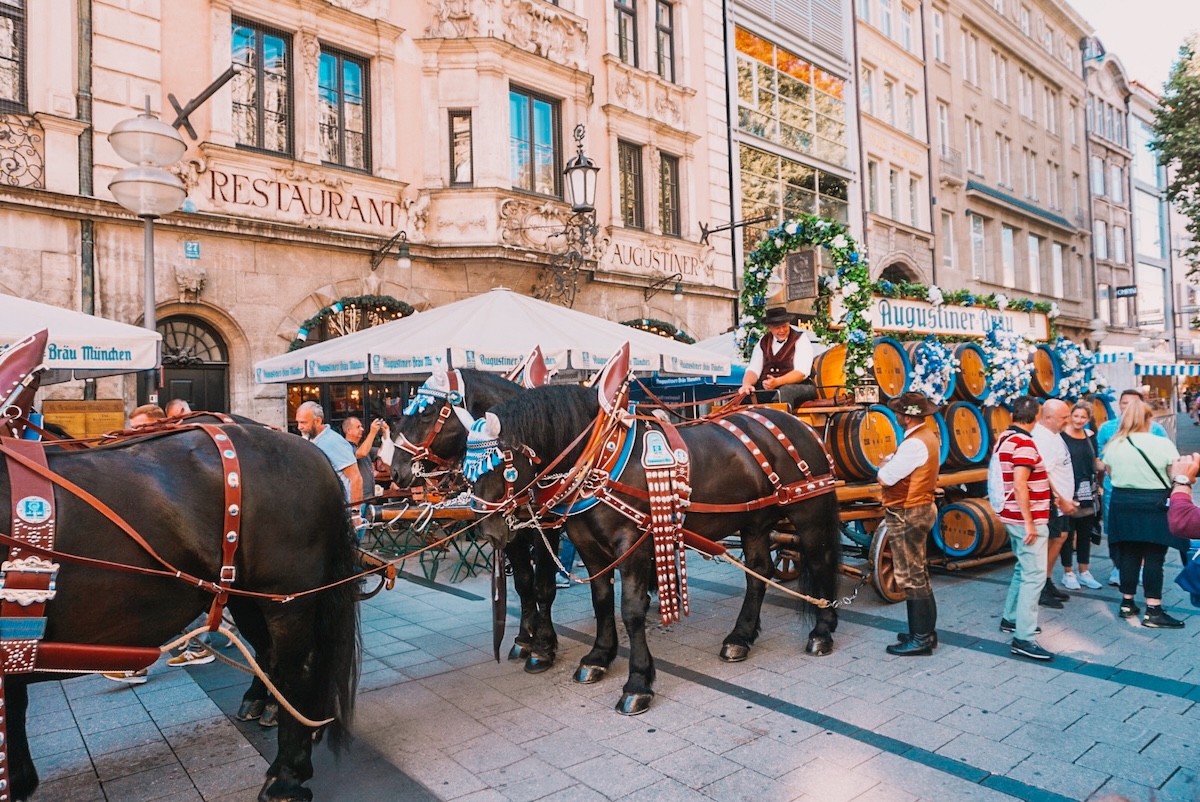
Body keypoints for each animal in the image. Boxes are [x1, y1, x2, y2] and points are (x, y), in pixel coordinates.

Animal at [2, 422, 357, 797]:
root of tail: (312, 451)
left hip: (286, 597)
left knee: (297, 669)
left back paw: (288, 775)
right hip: (245, 597)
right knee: (270, 653)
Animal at [388, 369, 566, 672]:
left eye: (426, 413)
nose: (395, 471)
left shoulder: (547, 529)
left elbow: (543, 587)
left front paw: (543, 647)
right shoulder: (510, 533)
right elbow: (523, 583)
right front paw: (524, 639)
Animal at [468, 384, 844, 715]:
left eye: (498, 464)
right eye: (469, 467)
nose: (487, 530)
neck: (599, 456)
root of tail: (796, 422)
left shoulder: (632, 545)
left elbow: (632, 611)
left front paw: (637, 683)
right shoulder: (589, 548)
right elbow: (601, 602)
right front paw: (599, 656)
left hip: (808, 512)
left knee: (821, 561)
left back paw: (822, 631)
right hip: (754, 522)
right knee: (759, 572)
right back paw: (740, 637)